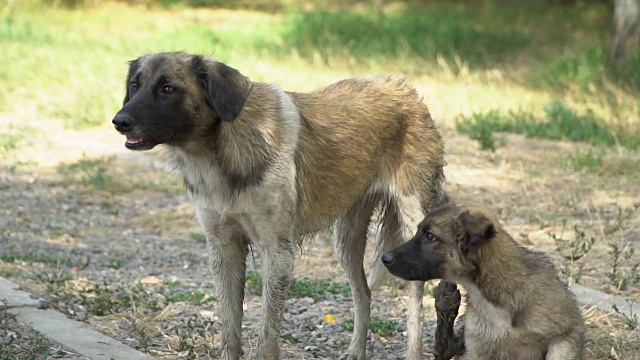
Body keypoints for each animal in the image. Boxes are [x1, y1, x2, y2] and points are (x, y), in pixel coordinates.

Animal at [112, 52, 444, 358]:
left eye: (168, 89)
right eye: (134, 85)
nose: (119, 121)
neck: (220, 151)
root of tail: (407, 89)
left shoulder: (277, 252)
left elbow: (267, 336)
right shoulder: (224, 247)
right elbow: (230, 328)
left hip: (412, 228)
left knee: (415, 305)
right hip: (346, 239)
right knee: (363, 294)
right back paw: (355, 351)